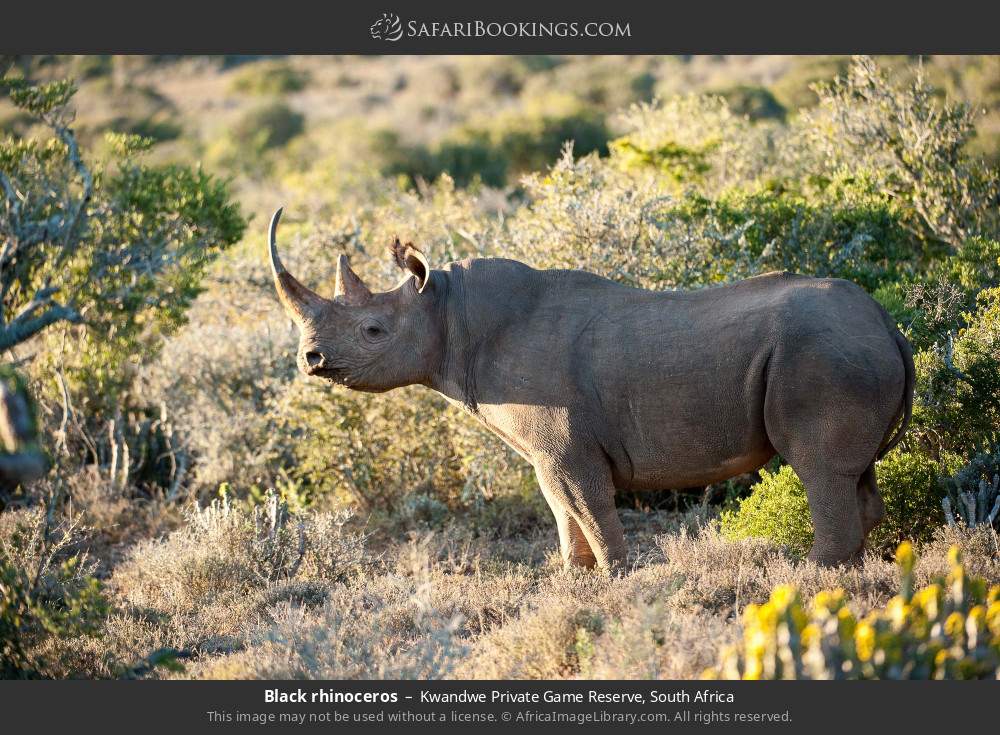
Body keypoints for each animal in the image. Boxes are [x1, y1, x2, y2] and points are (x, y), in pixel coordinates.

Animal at [267, 208, 914, 569]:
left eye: (373, 330)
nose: (310, 360)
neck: (448, 313)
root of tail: (889, 324)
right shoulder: (545, 451)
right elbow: (562, 512)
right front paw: (571, 581)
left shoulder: (565, 442)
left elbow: (590, 507)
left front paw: (615, 581)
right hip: (845, 351)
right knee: (853, 473)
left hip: (821, 355)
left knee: (818, 467)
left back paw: (814, 579)